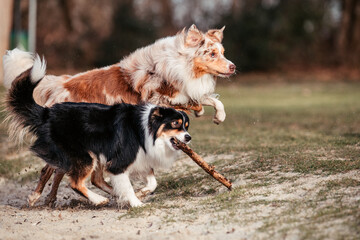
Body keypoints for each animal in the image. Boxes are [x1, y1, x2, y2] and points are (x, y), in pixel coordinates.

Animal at [6, 55, 191, 206]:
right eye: (175, 124)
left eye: (186, 125)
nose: (188, 137)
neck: (146, 128)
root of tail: (47, 113)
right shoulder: (119, 162)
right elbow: (127, 186)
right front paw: (137, 203)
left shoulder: (140, 158)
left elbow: (152, 182)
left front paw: (140, 193)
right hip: (84, 157)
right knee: (75, 183)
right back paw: (99, 200)